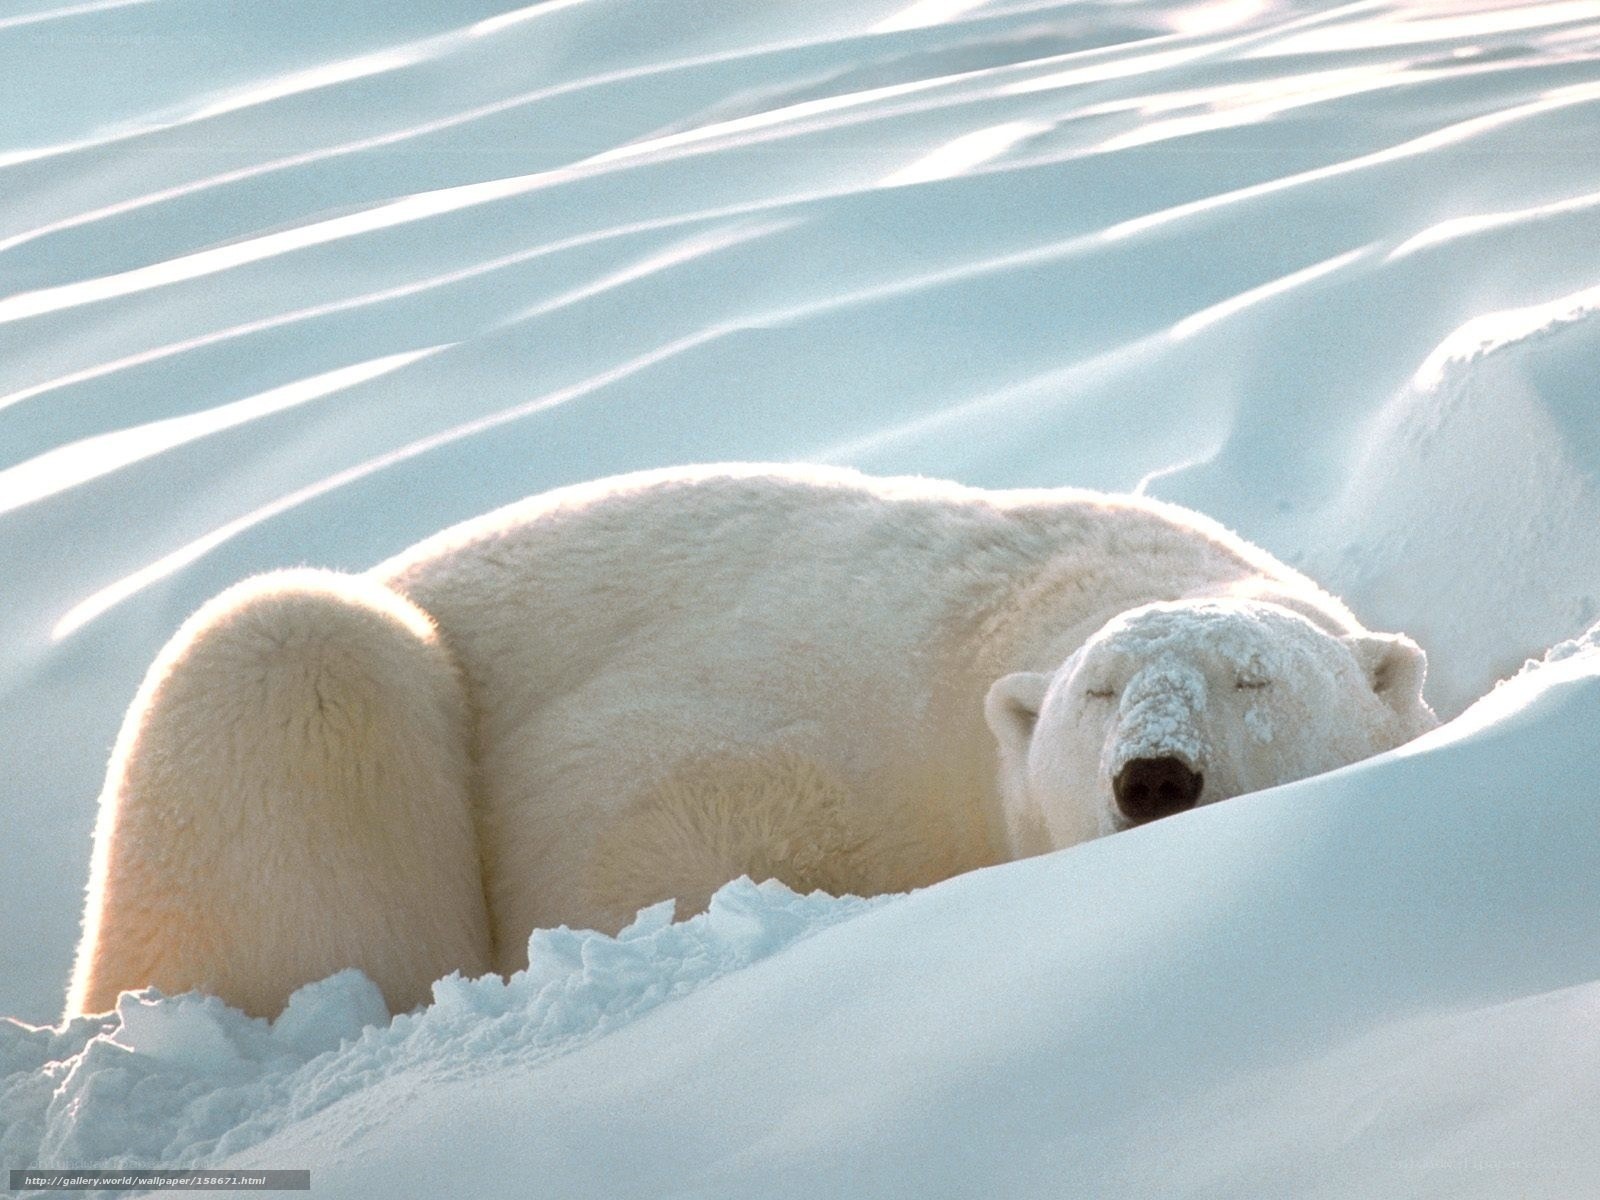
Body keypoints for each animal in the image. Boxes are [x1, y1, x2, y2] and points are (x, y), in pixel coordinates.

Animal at [65, 463, 1438, 1020]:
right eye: (1100, 693)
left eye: (1253, 676)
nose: (1155, 776)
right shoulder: (815, 719)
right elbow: (642, 826)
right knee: (290, 649)